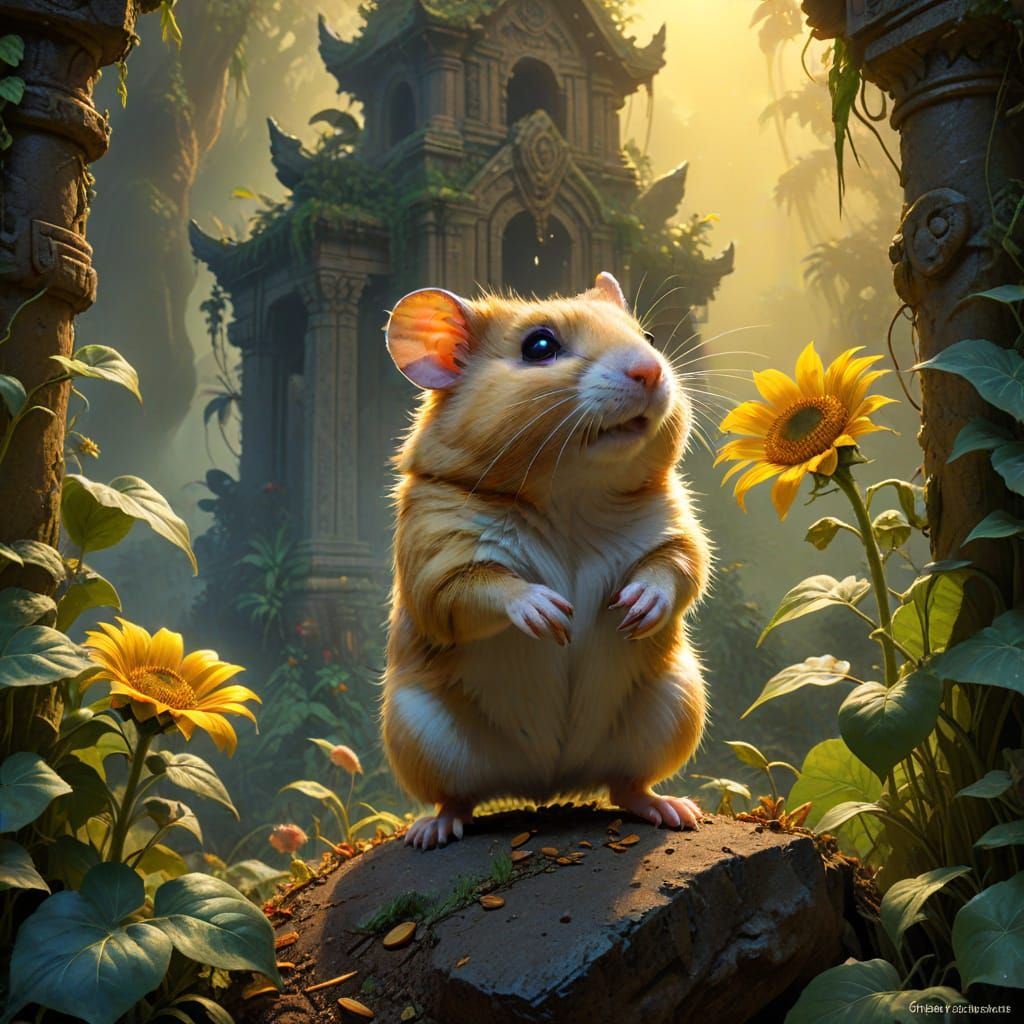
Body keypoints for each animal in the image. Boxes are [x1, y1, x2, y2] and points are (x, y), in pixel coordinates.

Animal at [381, 272, 711, 849]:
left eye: (647, 336)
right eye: (539, 346)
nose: (650, 370)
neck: (570, 495)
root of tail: (545, 784)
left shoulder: (676, 526)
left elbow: (678, 568)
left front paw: (638, 607)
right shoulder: (434, 558)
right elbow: (477, 590)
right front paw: (549, 614)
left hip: (672, 708)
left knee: (626, 784)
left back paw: (669, 808)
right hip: (419, 734)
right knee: (456, 797)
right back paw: (433, 829)